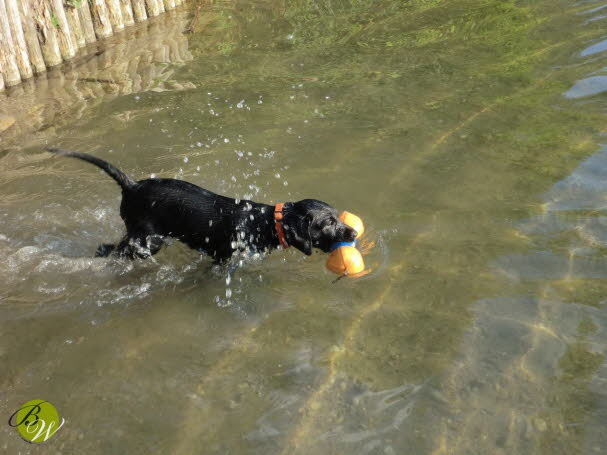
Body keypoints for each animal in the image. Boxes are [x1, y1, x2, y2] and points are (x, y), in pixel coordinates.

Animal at [51, 149, 360, 264]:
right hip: (148, 240)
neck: (261, 222)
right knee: (113, 250)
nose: (354, 234)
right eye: (328, 223)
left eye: (337, 216)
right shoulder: (223, 258)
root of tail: (131, 186)